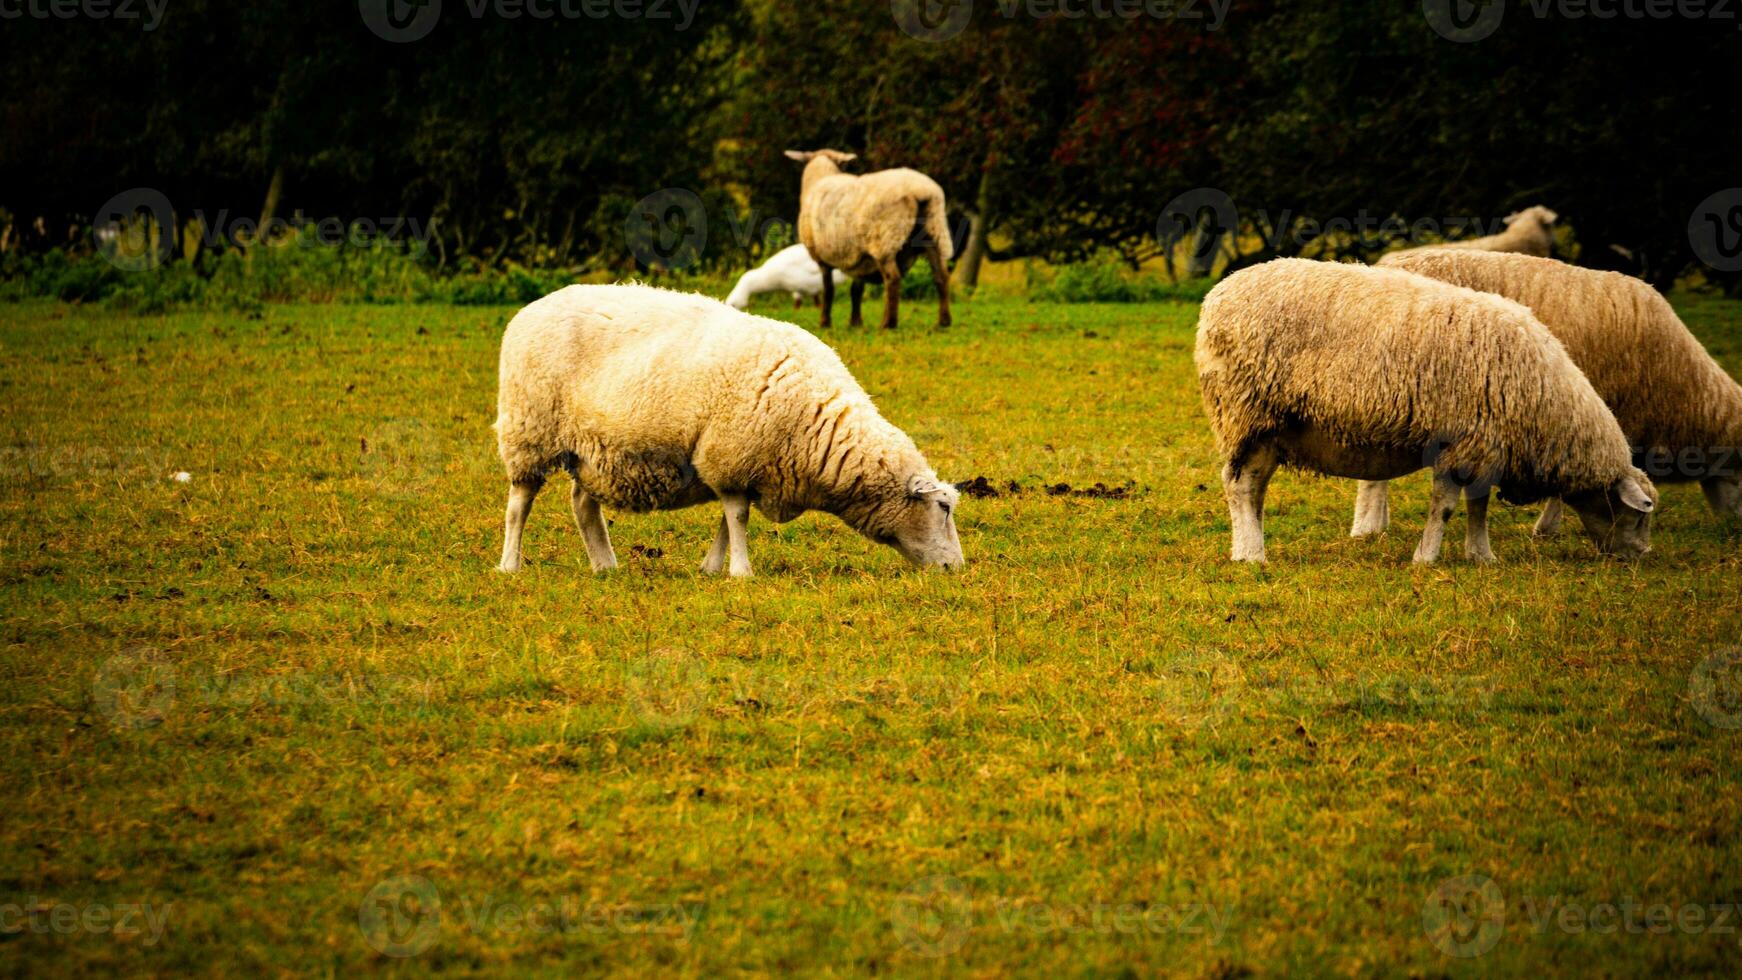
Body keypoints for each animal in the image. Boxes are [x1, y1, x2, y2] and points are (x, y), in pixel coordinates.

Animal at [494, 281, 968, 574]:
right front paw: (740, 571)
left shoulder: (744, 467)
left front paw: (711, 567)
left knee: (583, 505)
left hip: (593, 449)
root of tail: (532, 307)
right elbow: (737, 518)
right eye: (943, 508)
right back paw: (510, 564)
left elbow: (729, 519)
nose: (956, 568)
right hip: (528, 430)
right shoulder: (731, 456)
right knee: (520, 504)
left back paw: (605, 565)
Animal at [787, 149, 954, 332]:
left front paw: (825, 322)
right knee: (941, 276)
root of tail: (921, 191)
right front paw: (855, 322)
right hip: (934, 231)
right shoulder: (860, 257)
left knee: (893, 278)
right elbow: (856, 290)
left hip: (885, 241)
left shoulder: (822, 259)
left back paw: (888, 323)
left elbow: (829, 290)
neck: (820, 178)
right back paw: (943, 321)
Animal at [1191, 261, 1651, 563]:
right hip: (1245, 412)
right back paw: (1251, 555)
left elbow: (1478, 506)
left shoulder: (1486, 448)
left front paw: (1481, 555)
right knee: (1238, 486)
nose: (1641, 555)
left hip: (1271, 428)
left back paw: (1247, 543)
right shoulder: (1462, 443)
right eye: (1636, 514)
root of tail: (1220, 293)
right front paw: (1426, 558)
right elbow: (1445, 506)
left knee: (1254, 487)